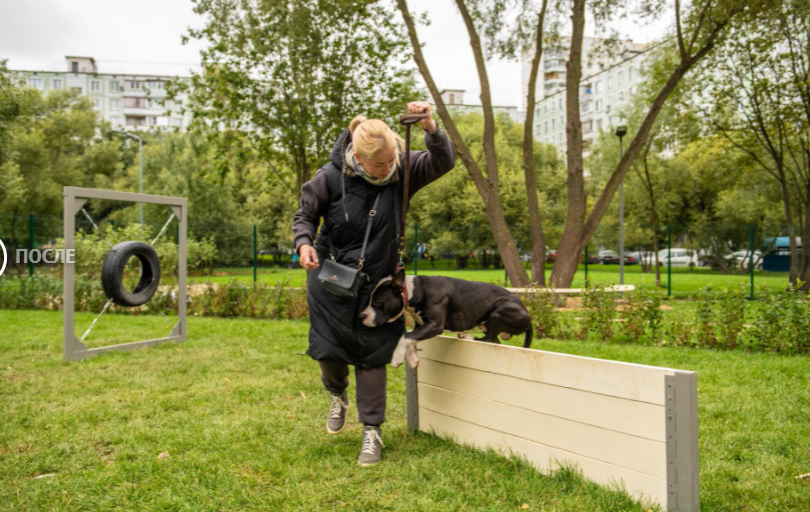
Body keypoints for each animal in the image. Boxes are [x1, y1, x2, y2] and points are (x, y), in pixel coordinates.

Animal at [358, 272, 532, 368]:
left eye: (377, 302)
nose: (361, 315)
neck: (415, 290)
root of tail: (527, 313)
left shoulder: (435, 326)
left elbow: (405, 337)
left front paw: (396, 358)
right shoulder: (420, 325)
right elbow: (411, 338)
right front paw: (412, 359)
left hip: (500, 308)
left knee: (491, 339)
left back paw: (467, 336)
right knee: (494, 339)